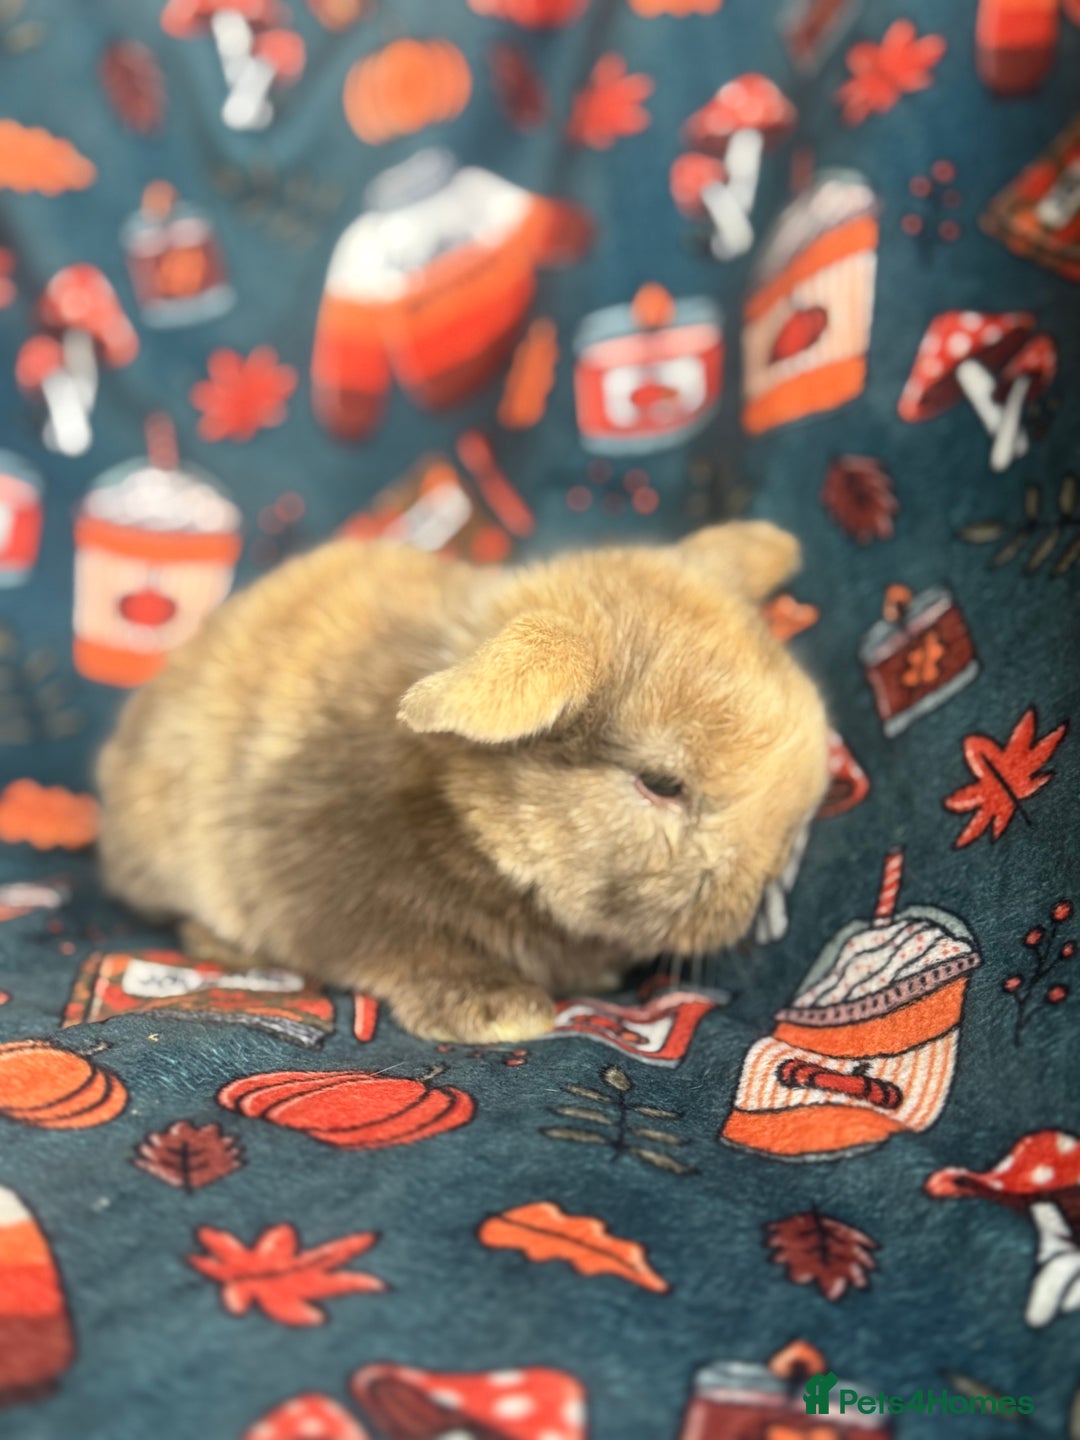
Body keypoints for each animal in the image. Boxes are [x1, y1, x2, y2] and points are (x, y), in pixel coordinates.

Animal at [96, 520, 829, 1043]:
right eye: (662, 783)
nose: (764, 885)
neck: (463, 808)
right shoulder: (340, 890)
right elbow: (403, 950)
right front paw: (502, 1013)